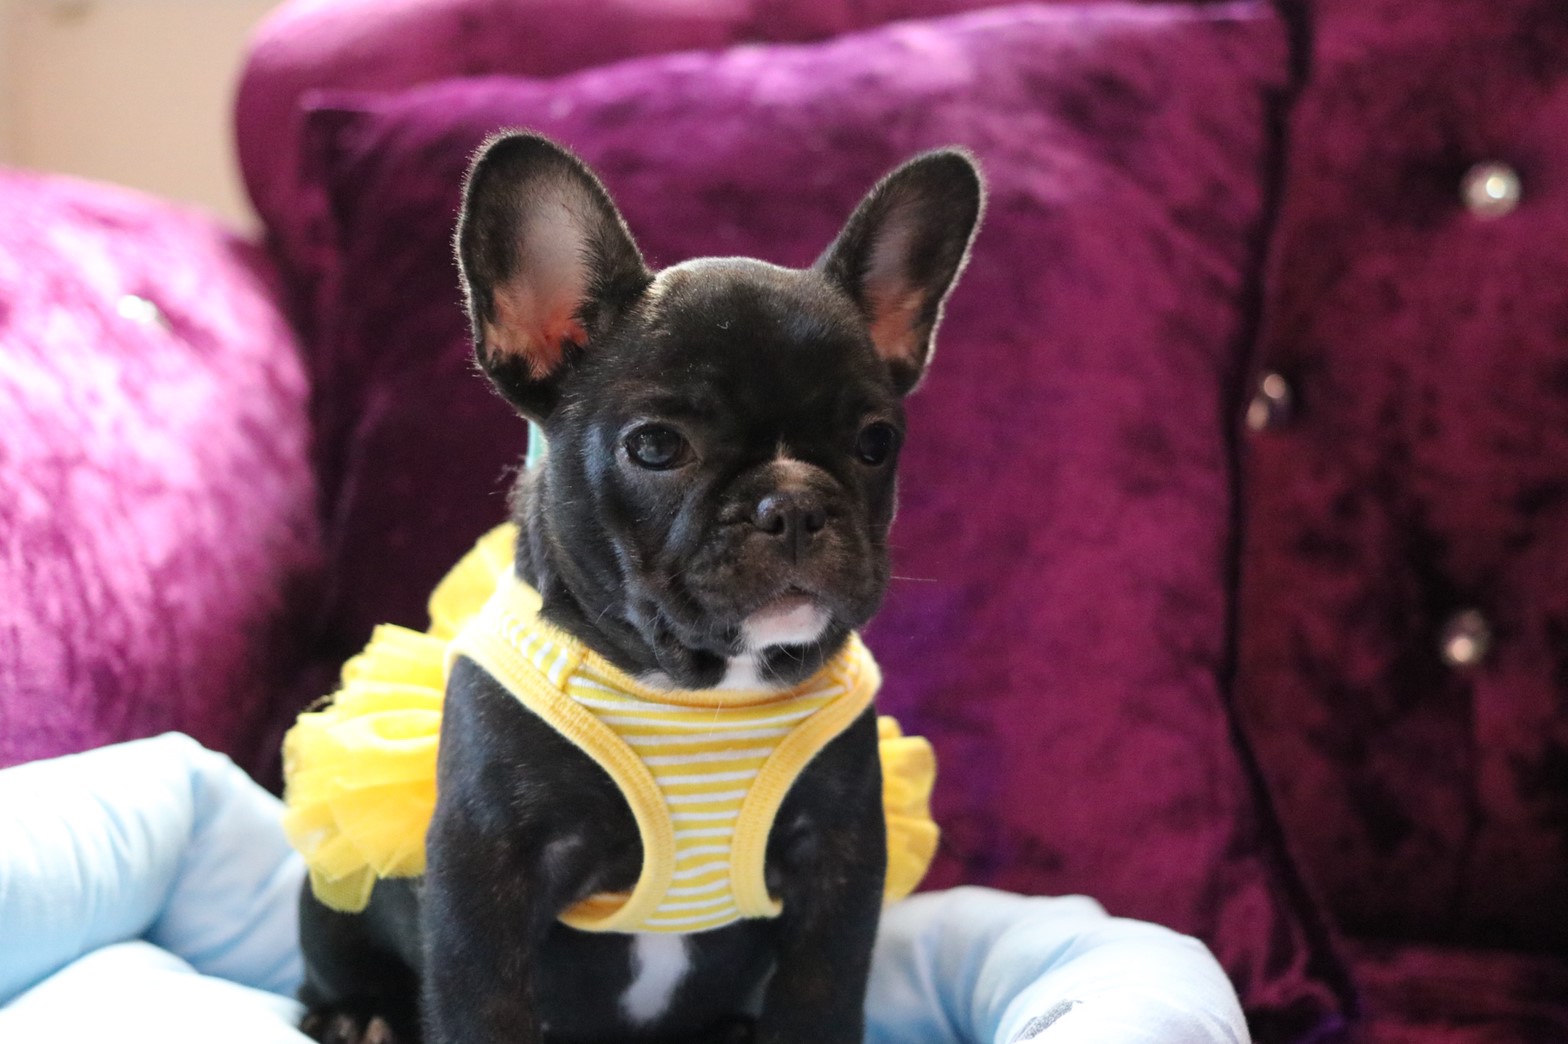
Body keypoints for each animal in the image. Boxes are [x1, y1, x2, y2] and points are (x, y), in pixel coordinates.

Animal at [294, 133, 983, 1044]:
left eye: (875, 443)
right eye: (656, 447)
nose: (795, 503)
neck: (703, 688)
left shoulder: (837, 859)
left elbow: (820, 994)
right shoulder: (489, 868)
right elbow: (485, 1003)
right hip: (327, 902)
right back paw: (357, 1013)